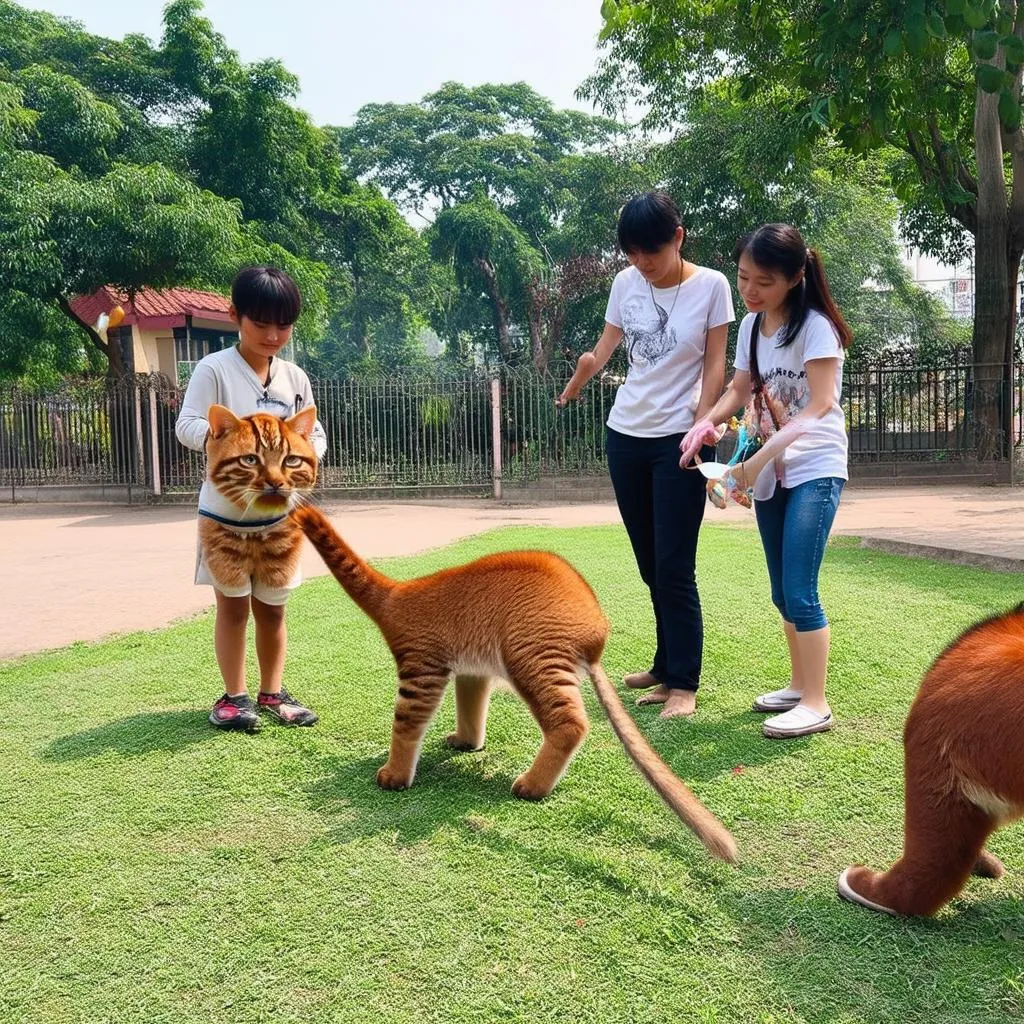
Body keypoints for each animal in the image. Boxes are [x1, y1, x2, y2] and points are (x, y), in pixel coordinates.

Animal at [288, 503, 737, 864]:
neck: (395, 599)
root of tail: (595, 631)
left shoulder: (421, 666)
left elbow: (406, 723)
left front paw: (394, 777)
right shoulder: (470, 667)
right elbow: (470, 701)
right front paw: (466, 742)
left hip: (530, 651)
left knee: (569, 723)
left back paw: (532, 786)